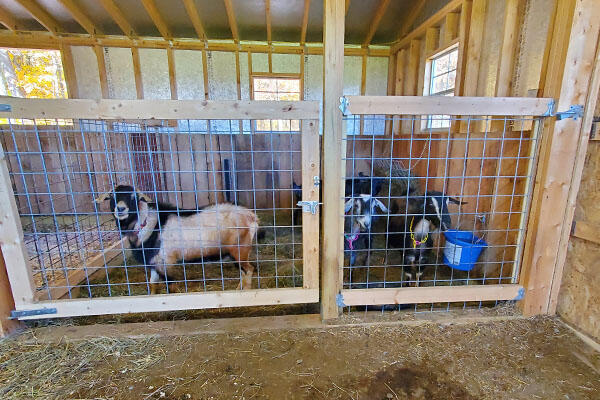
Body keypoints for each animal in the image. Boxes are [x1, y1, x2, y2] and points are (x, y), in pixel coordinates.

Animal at [95, 185, 258, 294]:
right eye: (112, 197)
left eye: (134, 197)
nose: (120, 209)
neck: (150, 224)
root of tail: (251, 216)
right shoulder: (154, 261)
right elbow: (153, 283)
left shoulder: (165, 261)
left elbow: (171, 286)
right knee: (244, 271)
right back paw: (238, 289)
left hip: (239, 249)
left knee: (249, 269)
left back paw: (246, 291)